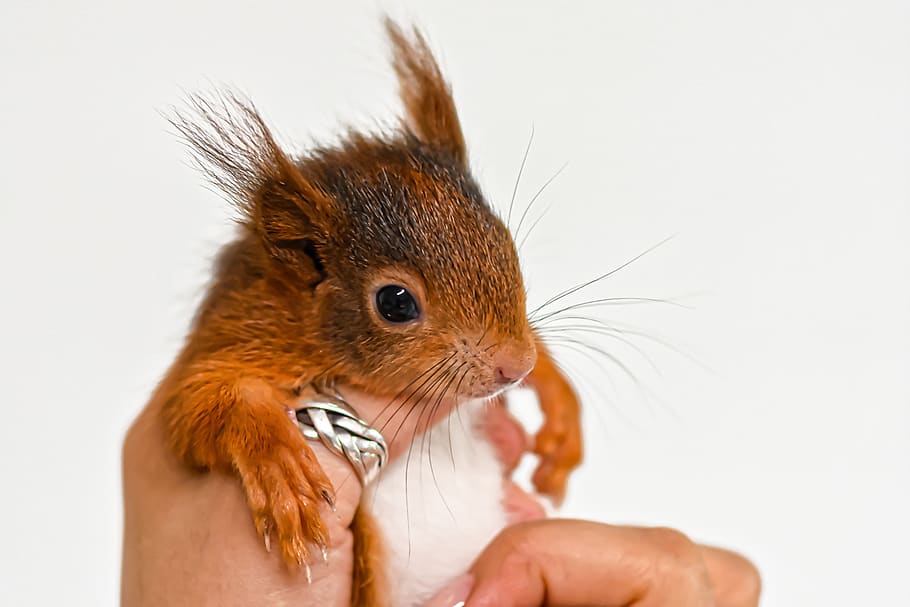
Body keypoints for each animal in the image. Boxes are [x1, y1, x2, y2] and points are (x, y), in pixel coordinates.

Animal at [159, 17, 580, 604]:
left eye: (502, 240)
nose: (515, 365)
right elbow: (193, 407)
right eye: (395, 302)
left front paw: (560, 409)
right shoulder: (241, 326)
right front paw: (277, 466)